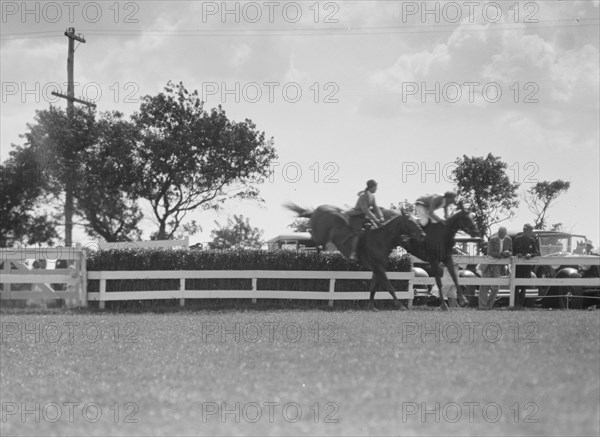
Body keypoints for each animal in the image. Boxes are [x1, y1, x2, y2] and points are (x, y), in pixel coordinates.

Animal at [286, 204, 426, 310]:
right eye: (410, 222)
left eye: (417, 221)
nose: (423, 235)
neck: (381, 239)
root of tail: (319, 209)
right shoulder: (377, 267)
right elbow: (389, 286)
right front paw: (400, 305)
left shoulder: (377, 268)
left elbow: (373, 287)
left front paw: (371, 306)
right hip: (320, 234)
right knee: (313, 237)